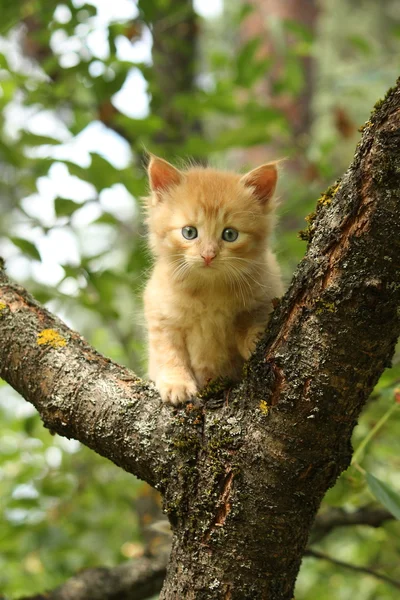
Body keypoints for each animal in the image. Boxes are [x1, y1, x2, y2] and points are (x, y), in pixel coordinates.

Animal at [142, 157, 282, 406]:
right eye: (189, 232)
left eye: (230, 235)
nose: (208, 255)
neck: (209, 290)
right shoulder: (160, 315)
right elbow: (169, 354)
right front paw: (176, 384)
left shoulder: (267, 288)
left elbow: (251, 318)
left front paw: (255, 337)